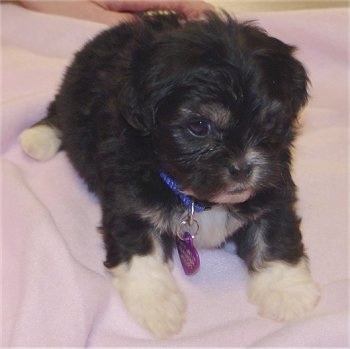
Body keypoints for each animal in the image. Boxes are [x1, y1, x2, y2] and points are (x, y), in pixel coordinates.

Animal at [19, 11, 320, 338]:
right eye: (199, 126)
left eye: (269, 122)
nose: (243, 169)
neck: (198, 198)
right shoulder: (128, 199)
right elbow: (140, 247)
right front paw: (156, 305)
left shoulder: (273, 186)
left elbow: (275, 234)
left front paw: (288, 292)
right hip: (73, 92)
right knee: (58, 111)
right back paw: (38, 138)